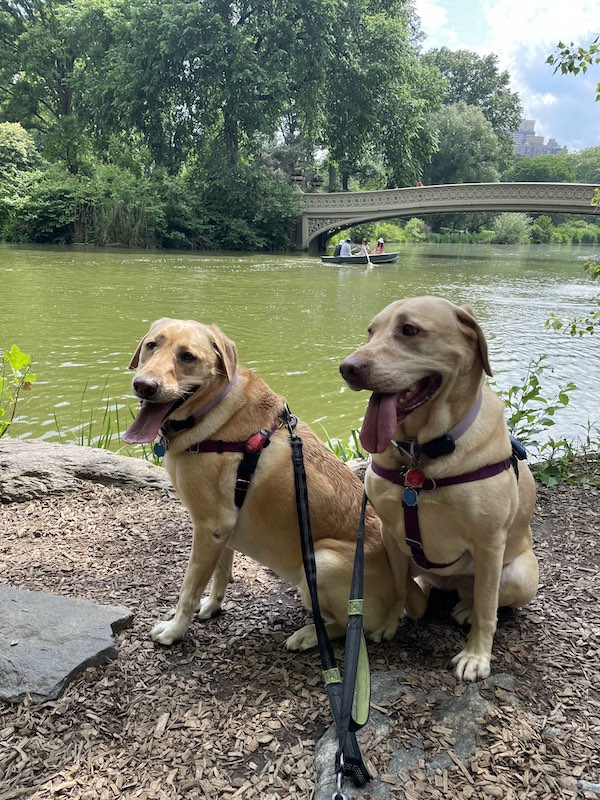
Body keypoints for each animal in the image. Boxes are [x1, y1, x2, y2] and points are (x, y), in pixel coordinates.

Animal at [122, 318, 422, 648]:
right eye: (152, 345)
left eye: (188, 356)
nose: (144, 385)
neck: (214, 412)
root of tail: (408, 589)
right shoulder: (222, 528)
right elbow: (220, 573)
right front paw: (213, 606)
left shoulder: (209, 526)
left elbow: (189, 588)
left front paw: (174, 631)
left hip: (320, 562)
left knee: (353, 628)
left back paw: (308, 635)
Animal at [340, 296, 540, 680]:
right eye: (371, 331)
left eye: (409, 329)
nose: (347, 368)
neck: (422, 454)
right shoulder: (390, 533)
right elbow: (398, 585)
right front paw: (390, 622)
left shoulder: (489, 542)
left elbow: (487, 608)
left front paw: (476, 656)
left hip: (520, 575)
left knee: (486, 598)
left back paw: (465, 608)